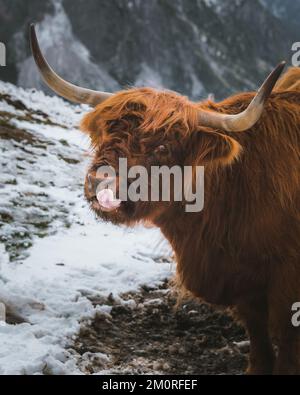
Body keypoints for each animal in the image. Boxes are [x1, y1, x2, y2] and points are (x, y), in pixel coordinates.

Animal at [29, 23, 300, 376]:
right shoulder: (243, 282)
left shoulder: (285, 281)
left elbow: (285, 338)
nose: (101, 183)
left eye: (162, 148)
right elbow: (258, 334)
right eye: (107, 134)